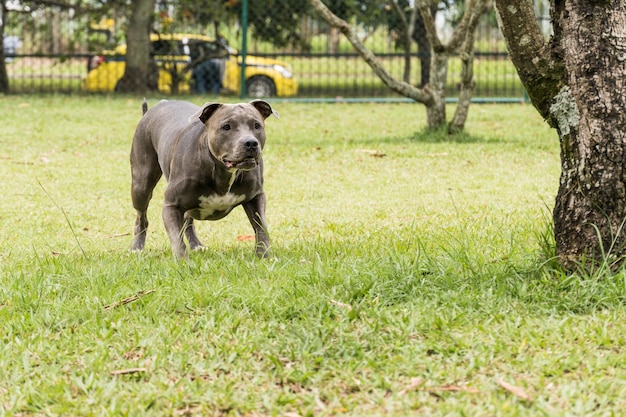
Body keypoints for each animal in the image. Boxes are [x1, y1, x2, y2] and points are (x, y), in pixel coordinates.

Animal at [129, 99, 276, 258]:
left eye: (256, 125)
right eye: (226, 127)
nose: (251, 143)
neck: (221, 171)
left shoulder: (256, 197)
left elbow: (261, 229)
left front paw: (263, 256)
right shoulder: (171, 205)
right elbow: (177, 240)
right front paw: (183, 262)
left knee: (187, 220)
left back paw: (196, 244)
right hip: (141, 185)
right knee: (141, 217)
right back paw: (137, 247)